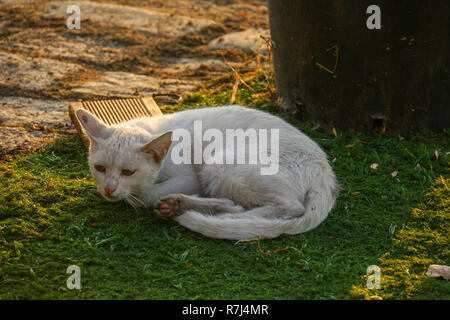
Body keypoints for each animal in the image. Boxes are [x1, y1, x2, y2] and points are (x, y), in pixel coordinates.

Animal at [76, 105, 338, 240]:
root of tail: (325, 172)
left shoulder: (189, 178)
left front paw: (135, 196)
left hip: (218, 166)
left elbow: (143, 195)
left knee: (287, 208)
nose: (108, 189)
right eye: (100, 168)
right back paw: (180, 206)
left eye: (128, 172)